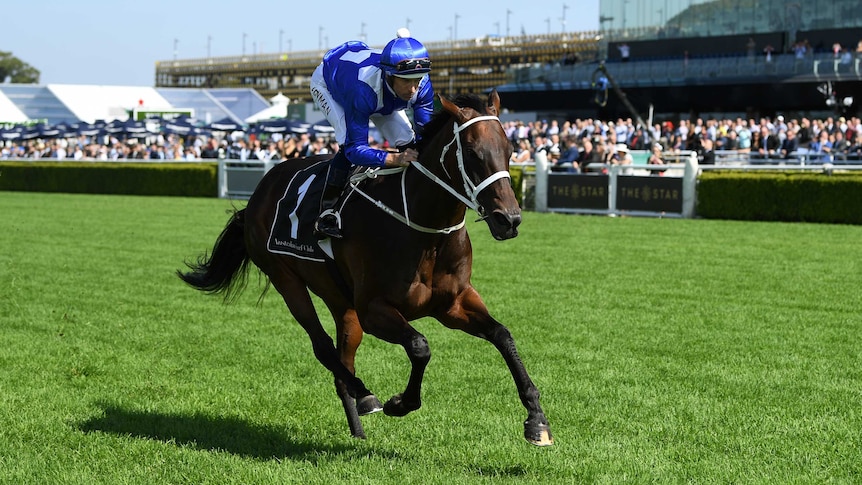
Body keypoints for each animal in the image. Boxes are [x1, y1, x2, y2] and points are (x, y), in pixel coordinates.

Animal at [180, 91, 556, 446]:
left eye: (510, 149)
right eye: (474, 152)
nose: (509, 220)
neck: (424, 227)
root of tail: (261, 189)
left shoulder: (453, 304)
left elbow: (503, 335)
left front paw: (537, 420)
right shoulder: (374, 309)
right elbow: (420, 346)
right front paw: (400, 403)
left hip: (341, 302)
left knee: (341, 361)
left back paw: (358, 426)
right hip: (286, 278)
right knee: (323, 347)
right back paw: (366, 395)